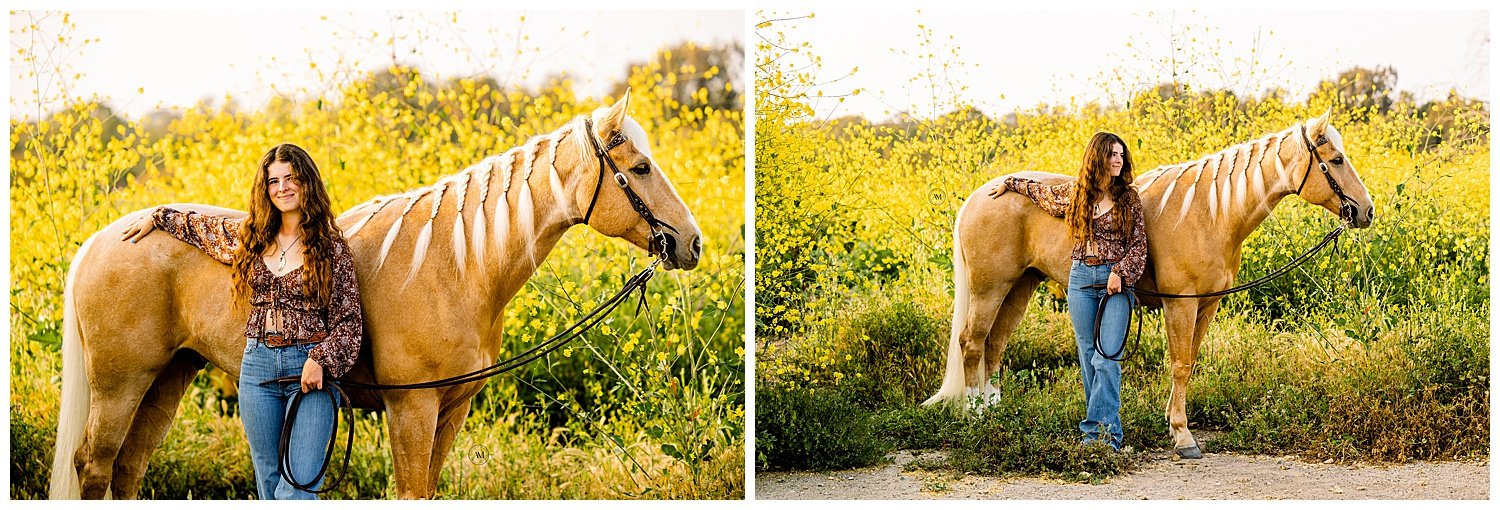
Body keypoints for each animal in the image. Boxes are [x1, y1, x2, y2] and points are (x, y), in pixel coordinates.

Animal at [48, 92, 702, 498]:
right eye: (641, 168)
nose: (690, 243)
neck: (455, 264)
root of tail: (101, 241)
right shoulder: (411, 410)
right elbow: (410, 490)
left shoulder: (451, 408)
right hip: (121, 384)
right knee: (95, 465)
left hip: (168, 377)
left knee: (128, 466)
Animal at [924, 111, 1374, 459]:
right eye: (1335, 160)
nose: (1366, 211)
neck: (1210, 211)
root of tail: (980, 196)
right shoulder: (1182, 303)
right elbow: (1178, 365)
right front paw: (1183, 437)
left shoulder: (1207, 303)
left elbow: (1188, 362)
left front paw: (1174, 424)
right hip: (990, 288)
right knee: (972, 342)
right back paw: (976, 416)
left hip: (1020, 286)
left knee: (995, 345)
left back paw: (995, 412)